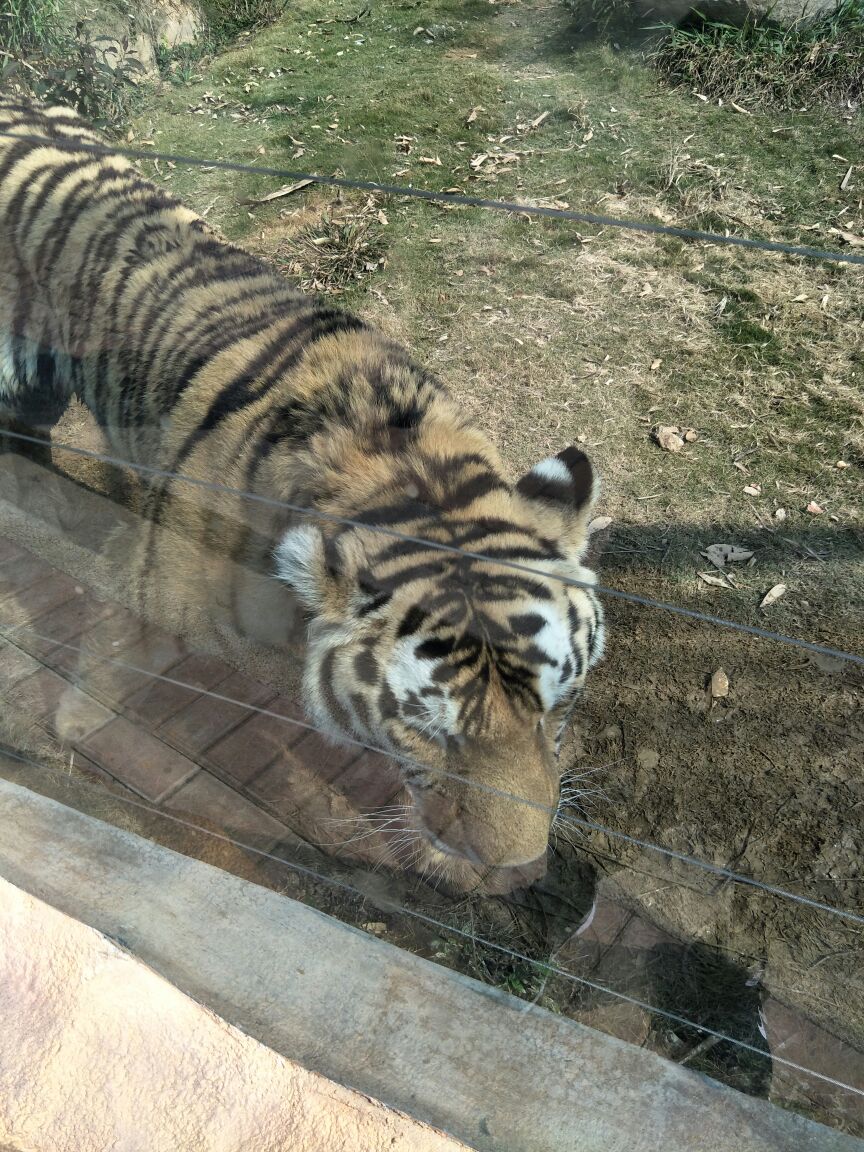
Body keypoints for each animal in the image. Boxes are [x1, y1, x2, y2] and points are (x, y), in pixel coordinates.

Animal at [0, 96, 603, 889]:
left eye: (557, 706)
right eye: (429, 732)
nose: (521, 863)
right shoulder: (140, 580)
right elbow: (106, 656)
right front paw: (74, 732)